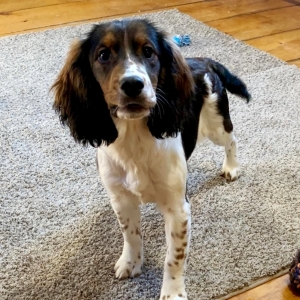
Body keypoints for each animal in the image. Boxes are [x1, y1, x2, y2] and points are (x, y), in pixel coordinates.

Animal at [52, 18, 251, 300]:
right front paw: (131, 263)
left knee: (232, 140)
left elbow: (174, 257)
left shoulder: (178, 209)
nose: (133, 84)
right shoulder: (122, 200)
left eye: (148, 52)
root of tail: (203, 60)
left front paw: (173, 293)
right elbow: (131, 234)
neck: (134, 137)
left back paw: (232, 167)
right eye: (103, 55)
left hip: (216, 125)